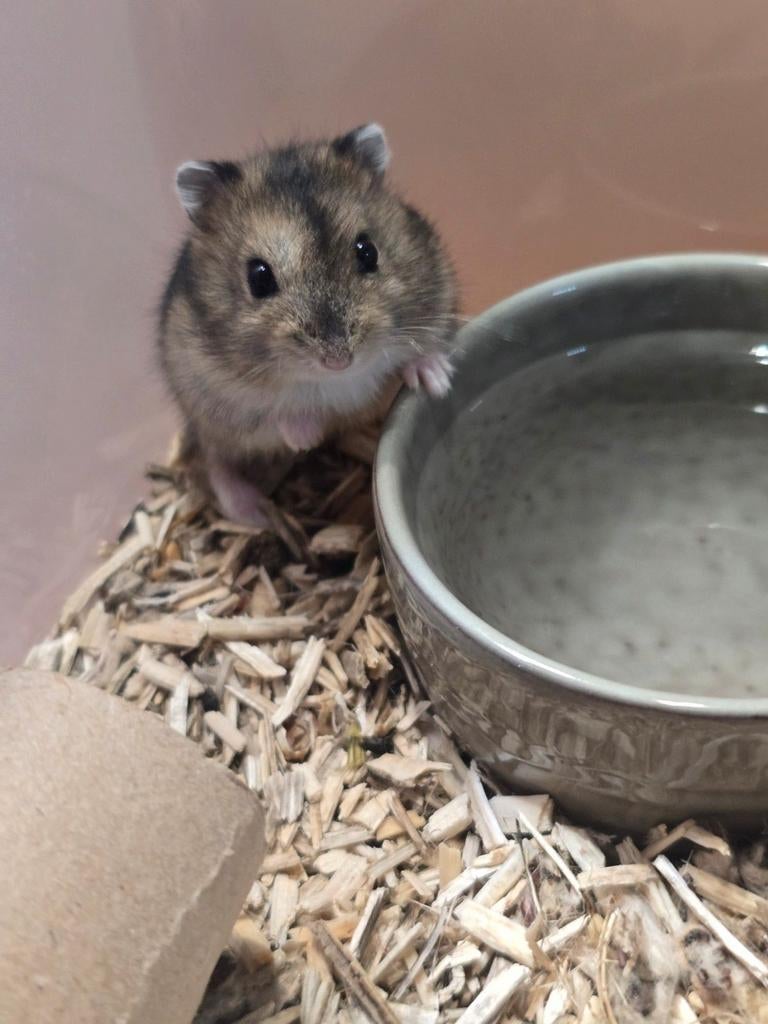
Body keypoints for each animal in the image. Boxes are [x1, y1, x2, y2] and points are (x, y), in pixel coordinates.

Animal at [158, 123, 458, 524]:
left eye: (368, 252)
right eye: (259, 277)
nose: (338, 360)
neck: (336, 381)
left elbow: (424, 349)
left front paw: (437, 381)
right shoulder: (217, 391)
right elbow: (275, 415)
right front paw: (307, 437)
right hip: (203, 420)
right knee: (215, 461)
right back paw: (254, 513)